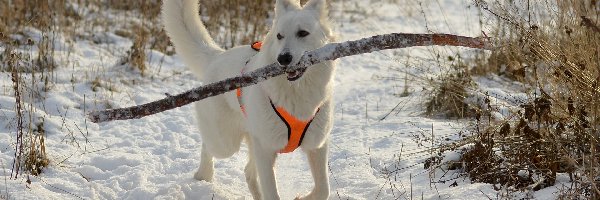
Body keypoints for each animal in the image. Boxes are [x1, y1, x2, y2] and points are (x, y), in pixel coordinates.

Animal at [162, 0, 336, 199]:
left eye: (303, 33)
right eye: (279, 36)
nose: (283, 58)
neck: (296, 91)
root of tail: (216, 57)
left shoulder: (317, 145)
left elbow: (323, 188)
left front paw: (302, 197)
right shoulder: (265, 150)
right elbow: (272, 193)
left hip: (250, 141)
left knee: (248, 171)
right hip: (225, 143)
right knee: (208, 146)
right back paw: (203, 174)